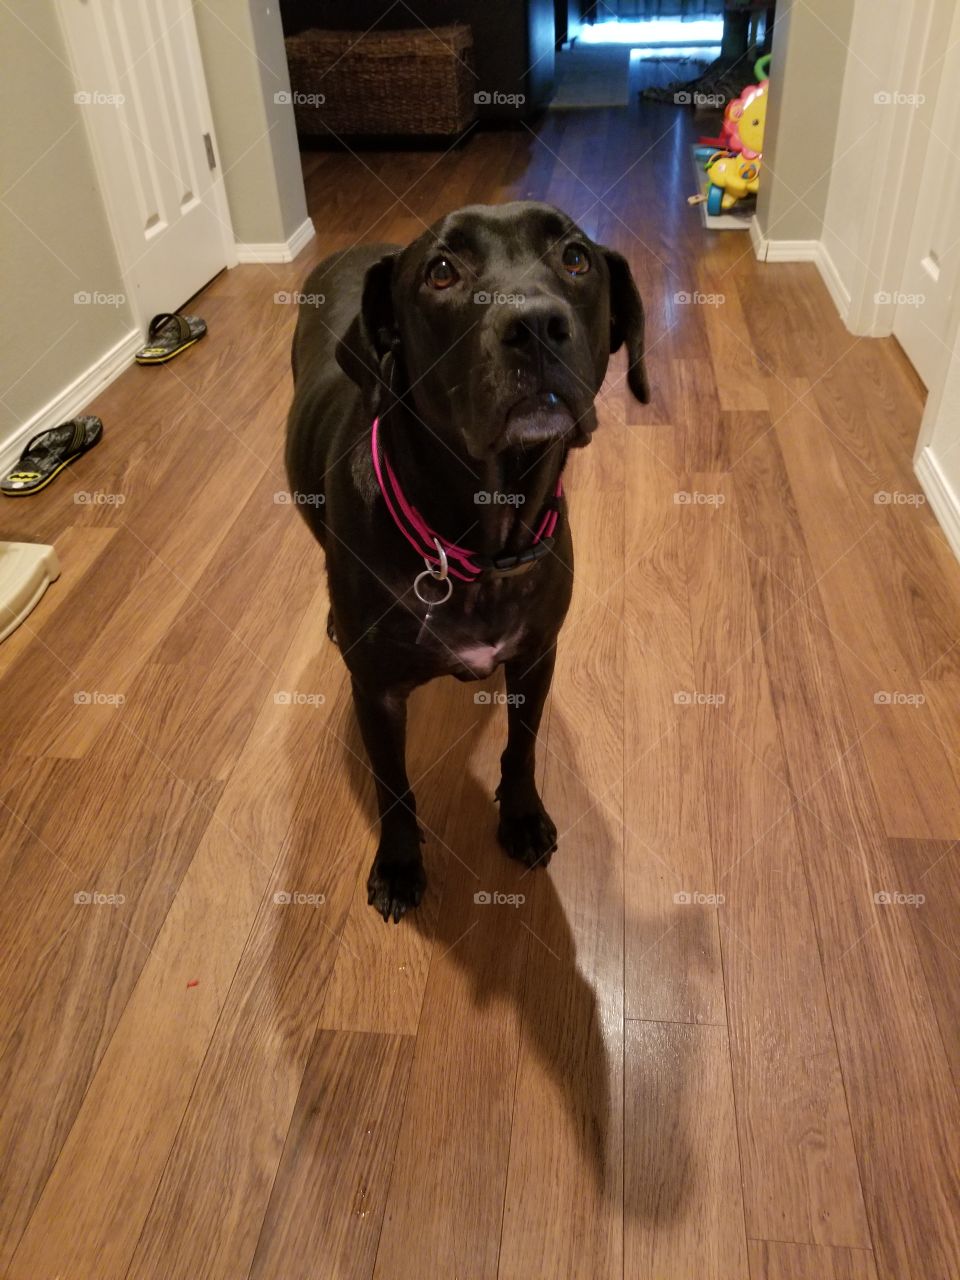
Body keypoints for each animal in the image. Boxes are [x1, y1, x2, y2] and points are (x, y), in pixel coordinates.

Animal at [284, 199, 647, 921]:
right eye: (442, 272)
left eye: (576, 257)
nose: (534, 325)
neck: (478, 545)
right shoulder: (377, 693)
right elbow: (392, 784)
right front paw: (399, 864)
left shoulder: (537, 655)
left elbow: (522, 747)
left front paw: (523, 817)